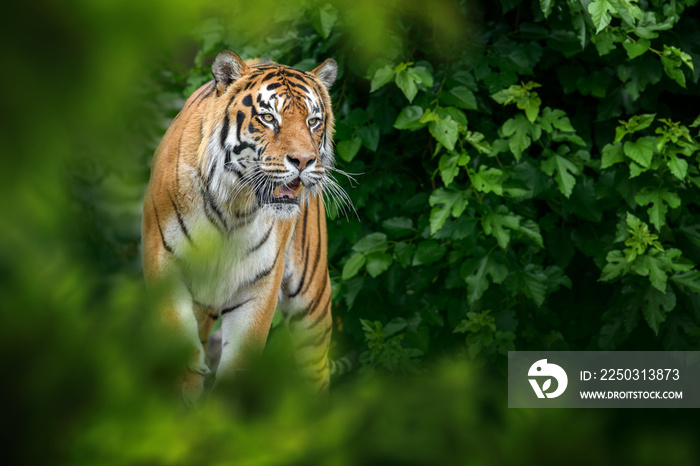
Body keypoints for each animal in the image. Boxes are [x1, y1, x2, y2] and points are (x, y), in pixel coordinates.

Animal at [142, 49, 342, 402]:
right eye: (268, 118)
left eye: (313, 121)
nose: (304, 161)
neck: (233, 208)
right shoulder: (165, 265)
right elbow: (184, 359)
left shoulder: (259, 283)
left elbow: (238, 364)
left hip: (312, 301)